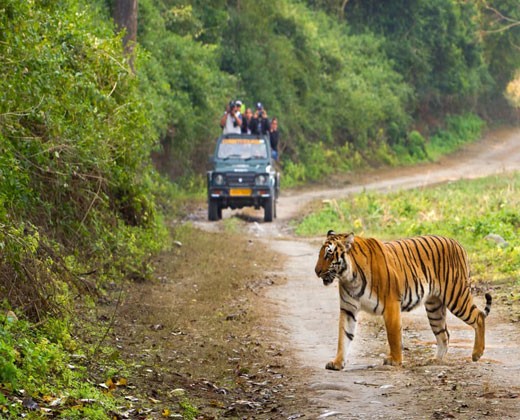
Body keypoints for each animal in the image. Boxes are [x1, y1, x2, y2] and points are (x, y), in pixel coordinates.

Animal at [314, 230, 494, 370]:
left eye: (329, 254)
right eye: (320, 254)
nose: (316, 271)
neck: (349, 277)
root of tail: (458, 243)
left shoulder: (391, 304)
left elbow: (393, 335)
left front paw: (394, 360)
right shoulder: (348, 309)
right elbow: (344, 336)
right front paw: (337, 362)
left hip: (456, 297)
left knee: (478, 317)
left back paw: (477, 353)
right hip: (434, 307)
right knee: (444, 334)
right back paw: (436, 360)